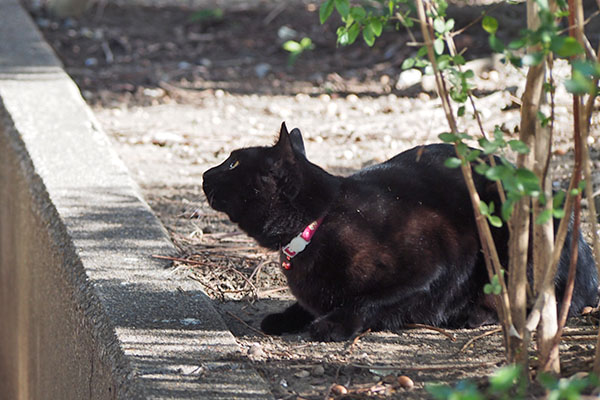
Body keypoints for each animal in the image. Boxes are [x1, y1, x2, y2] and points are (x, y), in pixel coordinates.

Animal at [204, 122, 596, 340]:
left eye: (233, 163)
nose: (206, 174)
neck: (319, 222)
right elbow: (307, 304)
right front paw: (286, 316)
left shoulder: (433, 267)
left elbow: (367, 301)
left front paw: (332, 325)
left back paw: (469, 315)